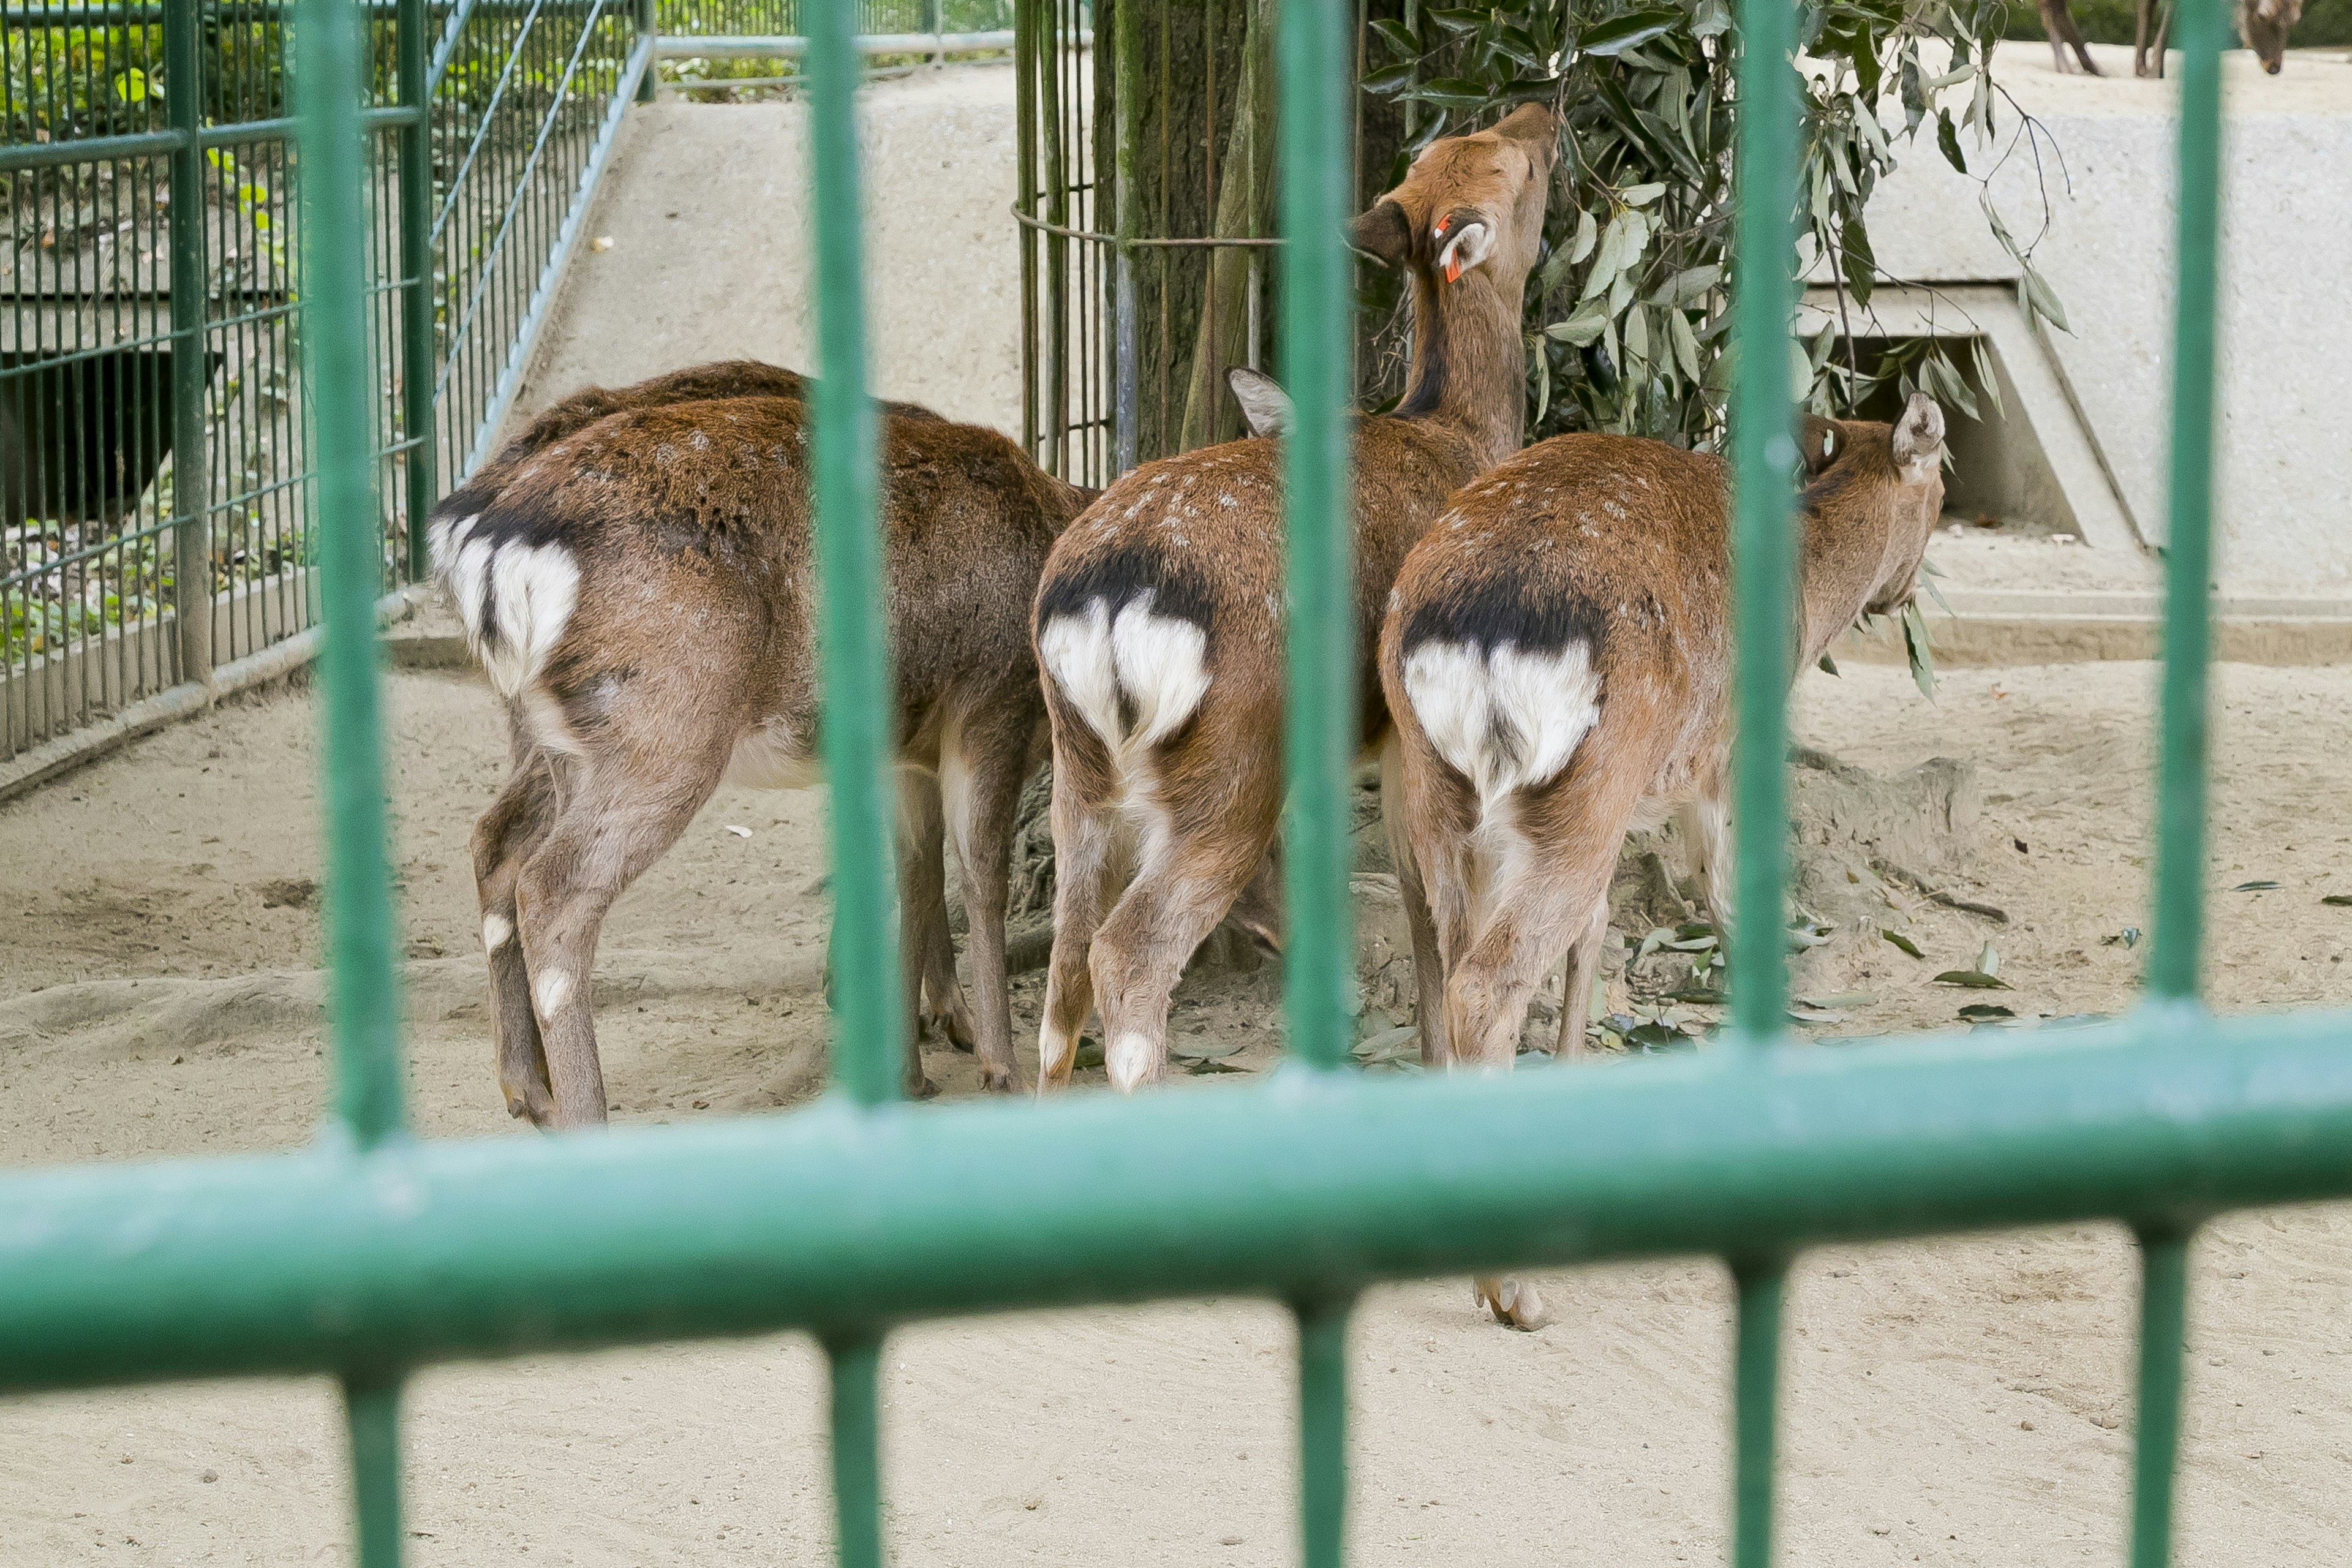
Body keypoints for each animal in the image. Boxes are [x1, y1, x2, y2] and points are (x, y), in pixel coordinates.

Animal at [428, 392, 1087, 1128]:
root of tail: (486, 549)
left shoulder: (908, 744)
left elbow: (917, 875)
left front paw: (909, 1074)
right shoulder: (990, 703)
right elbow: (983, 876)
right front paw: (1002, 1070)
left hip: (563, 739)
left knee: (499, 842)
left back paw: (530, 1091)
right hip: (667, 728)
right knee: (554, 888)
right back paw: (584, 1115)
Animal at [1035, 104, 1561, 1100]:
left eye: (1451, 148)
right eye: (1515, 166)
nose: (1542, 113)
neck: (1456, 431)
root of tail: (1104, 602)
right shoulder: (1403, 738)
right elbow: (1424, 909)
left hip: (1077, 772)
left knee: (1063, 973)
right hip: (1231, 766)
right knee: (1128, 954)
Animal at [1373, 399, 1947, 1335]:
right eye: (1943, 480)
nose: (1904, 594)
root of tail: (1480, 638)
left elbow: (1603, 926)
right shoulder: (1717, 757)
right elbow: (1724, 898)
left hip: (1441, 788)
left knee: (1448, 949)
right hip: (1593, 781)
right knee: (1487, 981)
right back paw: (1515, 1290)